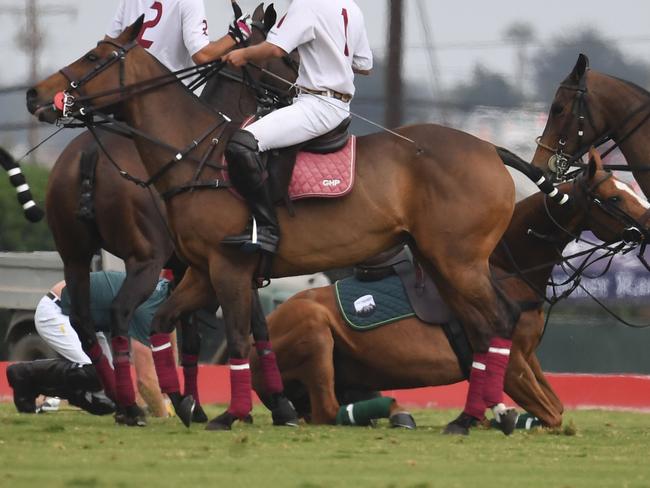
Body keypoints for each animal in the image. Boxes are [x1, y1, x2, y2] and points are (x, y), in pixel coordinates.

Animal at [29, 18, 548, 430]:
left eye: (94, 57)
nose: (36, 94)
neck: (195, 152)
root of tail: (490, 148)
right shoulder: (203, 270)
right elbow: (164, 323)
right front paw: (187, 403)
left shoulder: (229, 266)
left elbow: (241, 337)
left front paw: (233, 413)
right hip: (441, 261)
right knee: (481, 327)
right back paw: (478, 416)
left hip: (457, 260)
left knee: (498, 319)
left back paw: (477, 417)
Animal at [254, 151, 648, 428]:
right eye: (614, 199)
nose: (648, 224)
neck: (505, 270)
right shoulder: (511, 363)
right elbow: (552, 415)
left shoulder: (526, 356)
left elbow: (556, 407)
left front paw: (493, 418)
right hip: (315, 330)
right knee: (326, 410)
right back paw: (397, 411)